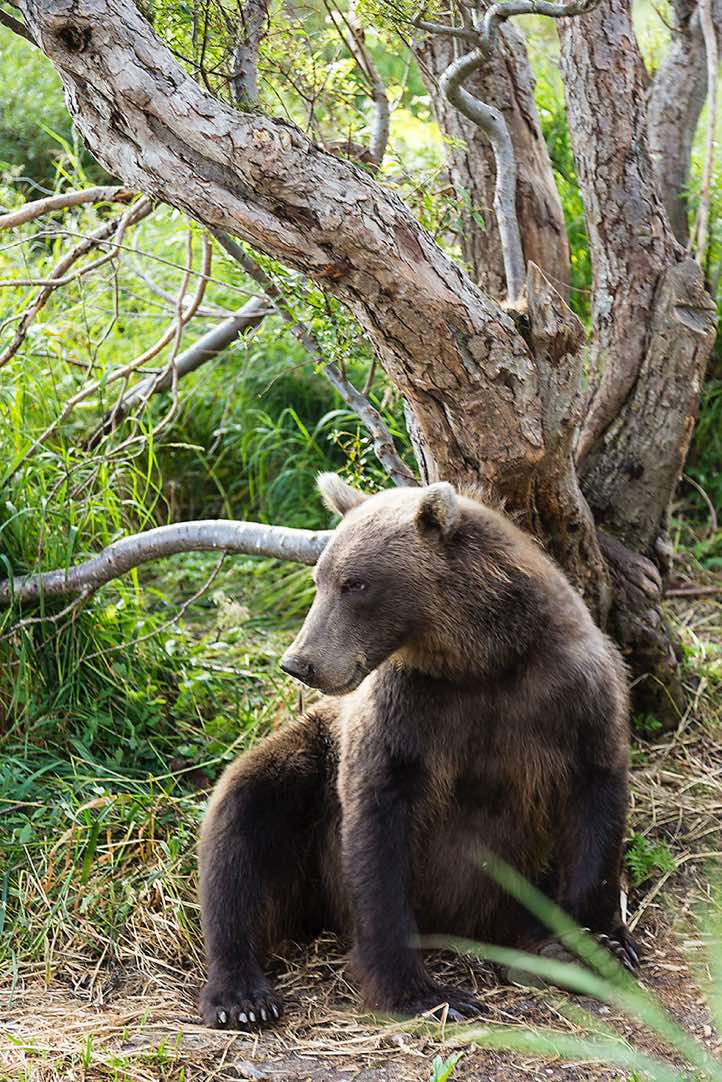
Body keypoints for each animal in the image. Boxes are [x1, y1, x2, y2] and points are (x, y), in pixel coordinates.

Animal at [198, 474, 637, 1029]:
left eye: (355, 584)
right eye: (320, 578)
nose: (300, 662)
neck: (483, 660)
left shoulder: (573, 692)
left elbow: (595, 800)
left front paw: (603, 941)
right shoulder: (404, 718)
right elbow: (377, 837)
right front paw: (422, 992)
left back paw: (548, 951)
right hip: (310, 781)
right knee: (243, 823)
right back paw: (241, 995)